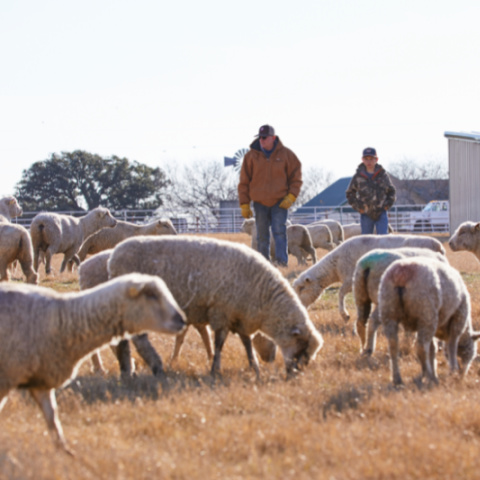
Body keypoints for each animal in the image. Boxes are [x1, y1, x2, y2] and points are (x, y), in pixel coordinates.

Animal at [0, 274, 188, 454]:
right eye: (151, 295)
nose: (182, 320)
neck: (65, 319)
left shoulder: (41, 382)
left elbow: (53, 421)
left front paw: (66, 453)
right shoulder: (6, 380)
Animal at [107, 235, 324, 378]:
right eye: (303, 348)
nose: (296, 374)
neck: (263, 294)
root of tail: (114, 256)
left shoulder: (240, 316)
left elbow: (246, 343)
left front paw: (254, 367)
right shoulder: (221, 312)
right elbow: (219, 343)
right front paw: (215, 369)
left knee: (124, 340)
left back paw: (128, 369)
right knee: (138, 339)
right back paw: (153, 366)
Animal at [292, 233, 446, 322]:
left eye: (301, 289)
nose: (298, 309)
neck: (335, 265)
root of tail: (438, 245)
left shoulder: (351, 279)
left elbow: (340, 293)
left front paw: (345, 315)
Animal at [376, 258, 478, 386]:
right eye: (470, 352)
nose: (463, 375)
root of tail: (402, 273)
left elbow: (433, 349)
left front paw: (435, 371)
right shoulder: (458, 319)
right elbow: (451, 346)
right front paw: (452, 370)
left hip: (388, 311)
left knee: (393, 346)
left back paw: (398, 379)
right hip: (426, 312)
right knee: (421, 347)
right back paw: (429, 377)